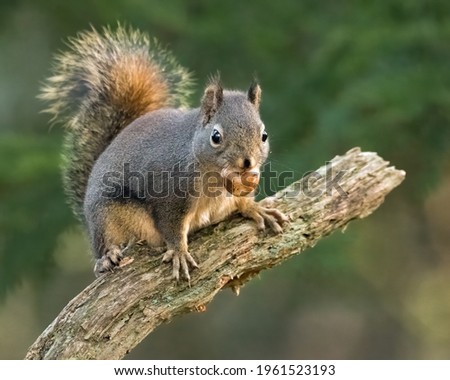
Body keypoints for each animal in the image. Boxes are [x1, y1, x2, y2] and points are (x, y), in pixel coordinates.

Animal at [40, 25, 286, 280]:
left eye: (264, 135)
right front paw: (179, 252)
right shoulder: (171, 195)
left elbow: (242, 201)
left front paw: (257, 209)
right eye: (216, 137)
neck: (215, 176)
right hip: (108, 215)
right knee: (105, 246)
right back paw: (107, 257)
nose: (247, 162)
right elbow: (172, 227)